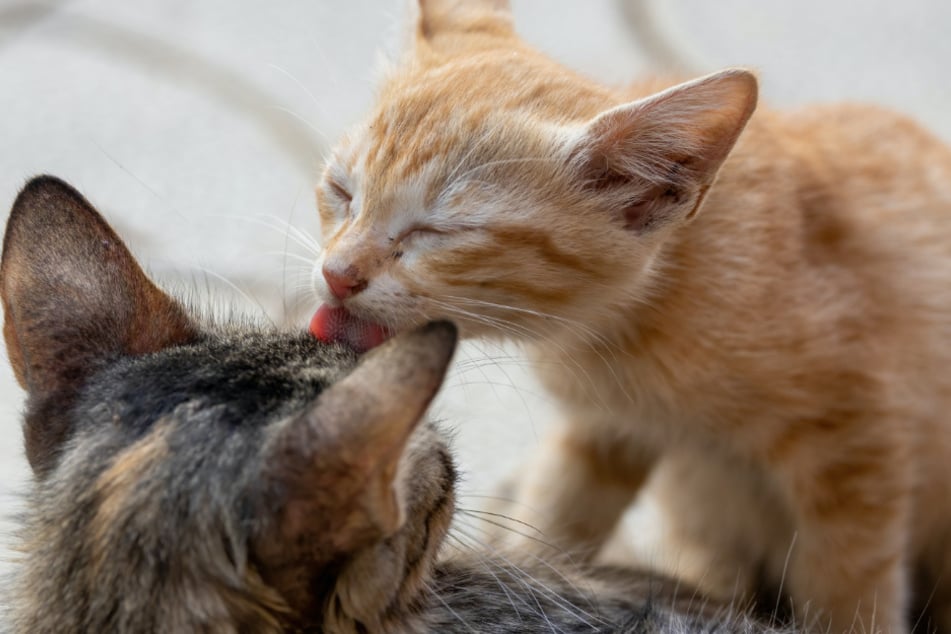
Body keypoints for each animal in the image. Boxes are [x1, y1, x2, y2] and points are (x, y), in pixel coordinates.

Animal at [308, 0, 951, 628]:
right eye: (342, 192)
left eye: (435, 232)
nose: (337, 274)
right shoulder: (605, 429)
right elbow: (556, 522)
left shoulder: (859, 441)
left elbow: (853, 584)